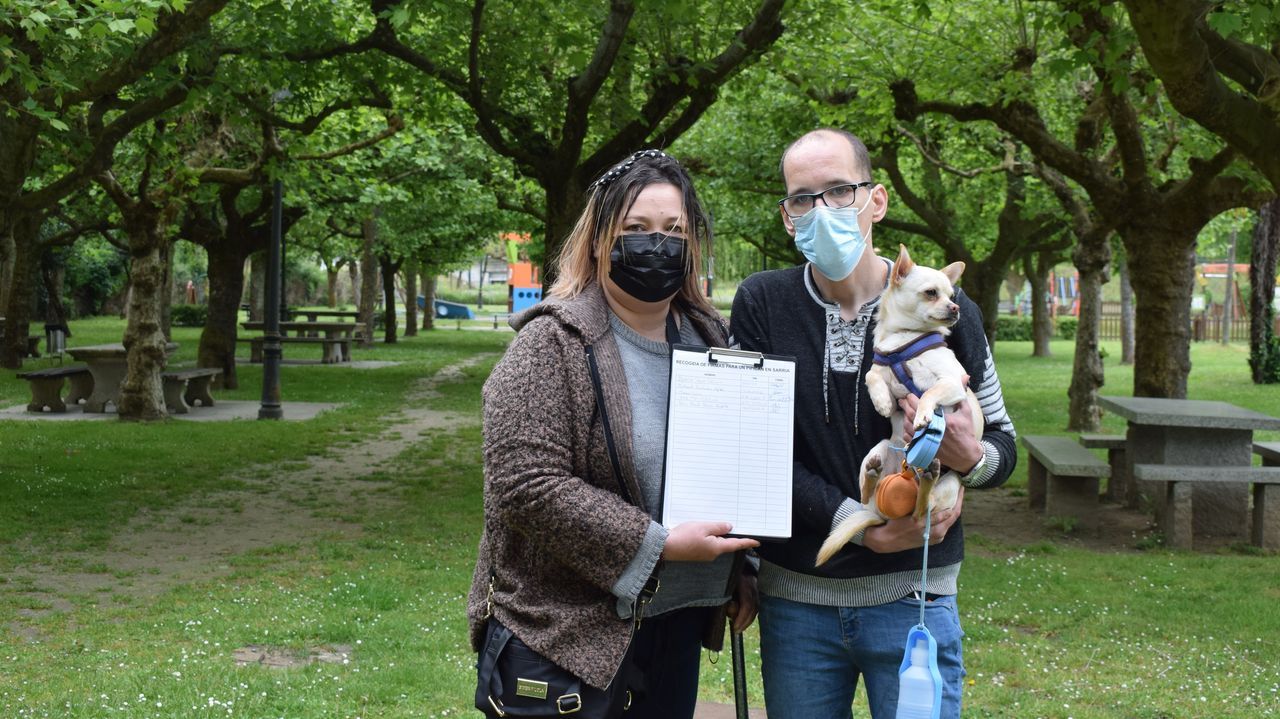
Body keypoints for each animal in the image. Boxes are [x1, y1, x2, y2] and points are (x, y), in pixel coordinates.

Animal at [814, 245, 983, 565]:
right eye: (931, 293)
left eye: (951, 296)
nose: (955, 309)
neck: (905, 338)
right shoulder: (891, 387)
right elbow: (872, 374)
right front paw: (879, 401)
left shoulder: (954, 383)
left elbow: (930, 393)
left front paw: (923, 416)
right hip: (879, 448)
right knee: (866, 495)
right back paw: (872, 475)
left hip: (950, 484)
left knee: (921, 509)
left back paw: (926, 482)